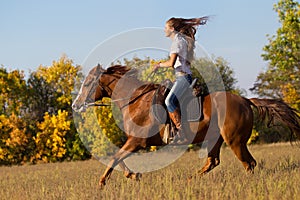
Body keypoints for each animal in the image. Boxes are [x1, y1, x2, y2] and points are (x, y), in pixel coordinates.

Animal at [72, 65, 300, 187]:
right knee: (213, 162)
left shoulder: (136, 141)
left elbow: (114, 158)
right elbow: (117, 159)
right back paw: (190, 179)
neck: (135, 99)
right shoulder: (134, 142)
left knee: (249, 163)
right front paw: (132, 175)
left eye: (88, 82)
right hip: (215, 139)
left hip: (234, 141)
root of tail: (245, 100)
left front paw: (104, 183)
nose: (75, 105)